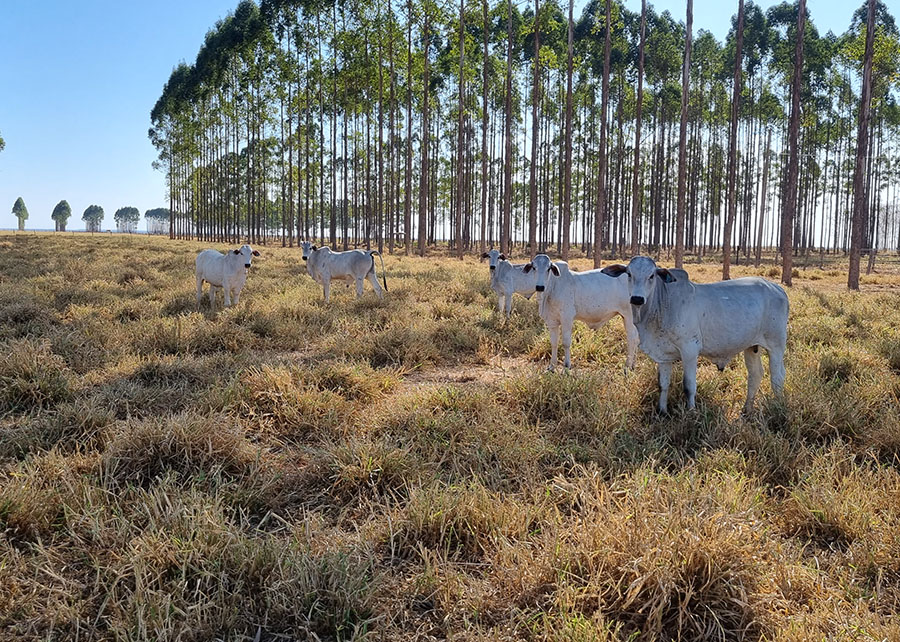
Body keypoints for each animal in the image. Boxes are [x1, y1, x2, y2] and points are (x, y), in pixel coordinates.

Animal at [604, 252, 788, 412]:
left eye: (651, 276)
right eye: (629, 274)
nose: (637, 298)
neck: (662, 304)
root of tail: (778, 289)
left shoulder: (690, 350)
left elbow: (689, 386)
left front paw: (691, 412)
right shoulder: (663, 355)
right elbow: (663, 384)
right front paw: (662, 411)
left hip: (776, 345)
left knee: (777, 378)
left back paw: (777, 408)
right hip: (751, 346)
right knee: (755, 375)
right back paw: (747, 409)